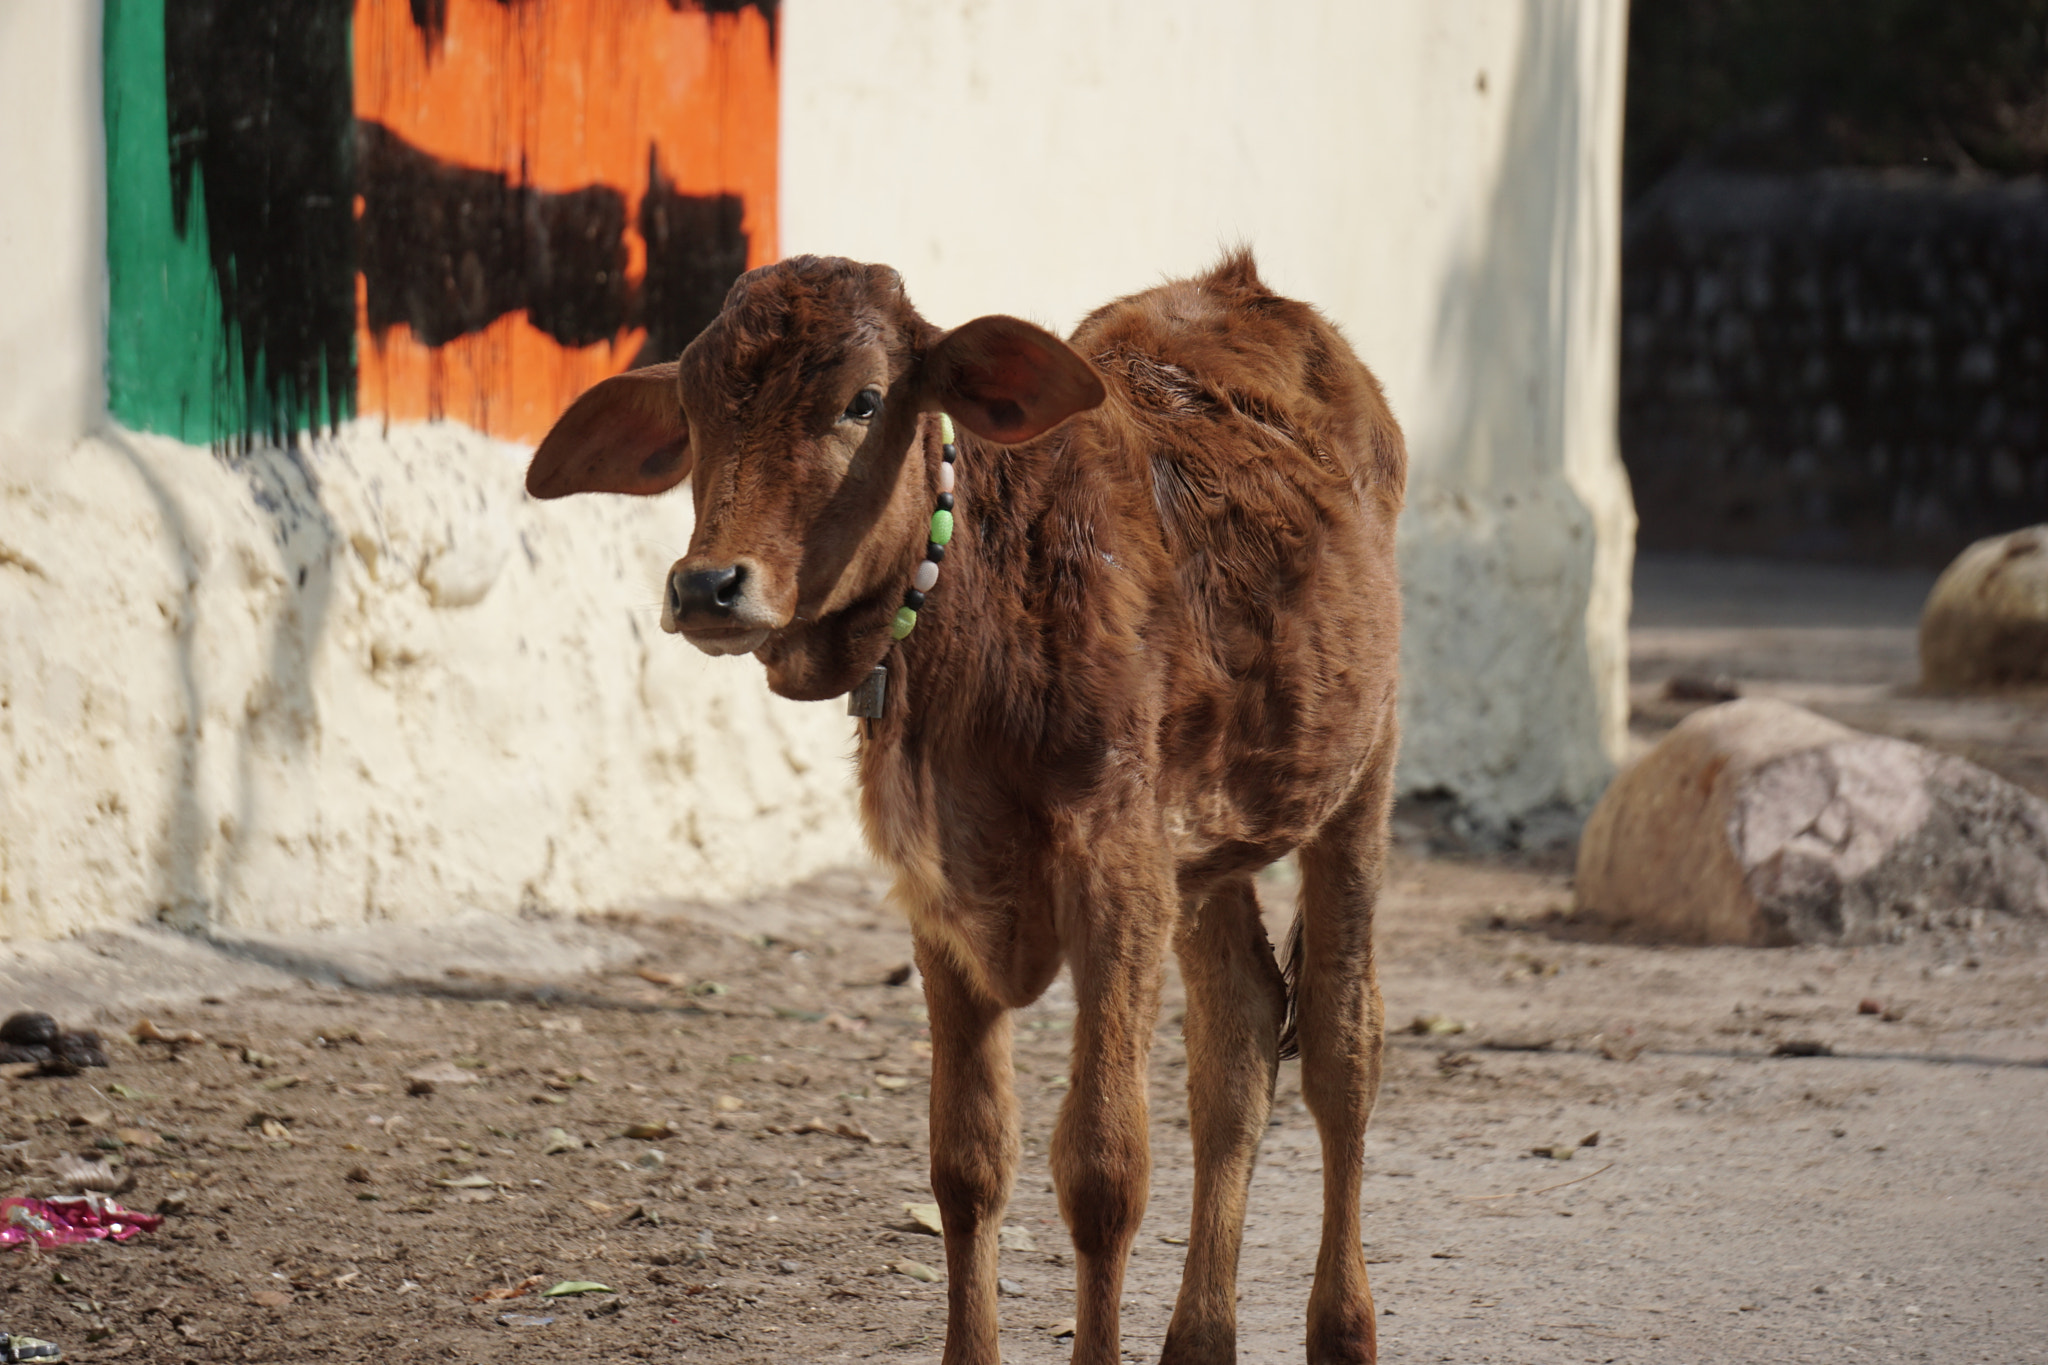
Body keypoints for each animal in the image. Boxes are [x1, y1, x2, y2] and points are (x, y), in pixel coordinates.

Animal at [528, 250, 1409, 1358]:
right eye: (690, 413)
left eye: (863, 400)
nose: (705, 586)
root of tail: (1241, 288)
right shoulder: (940, 900)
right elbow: (967, 1162)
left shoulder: (1118, 877)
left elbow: (1103, 1170)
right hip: (1208, 847)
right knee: (1239, 1040)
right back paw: (1200, 1338)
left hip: (1360, 778)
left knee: (1342, 1046)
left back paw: (1341, 1327)